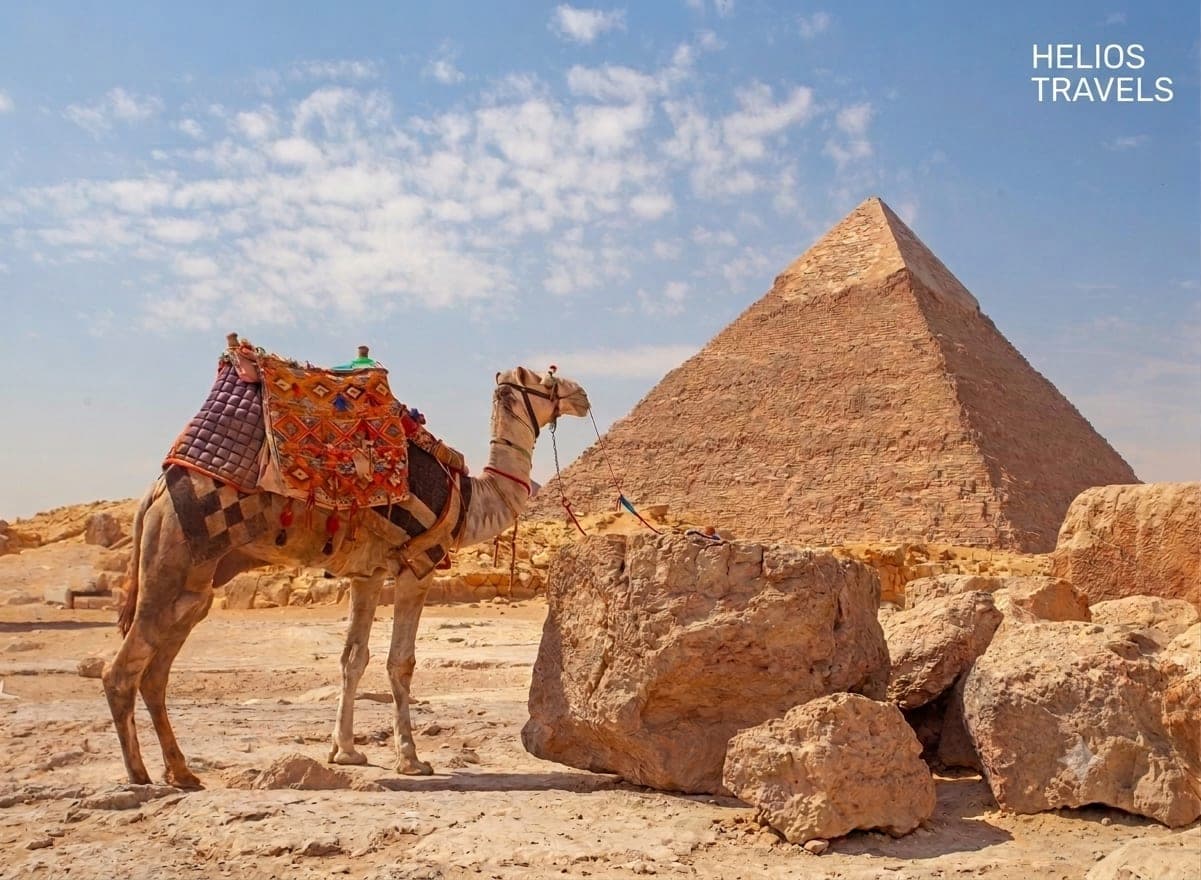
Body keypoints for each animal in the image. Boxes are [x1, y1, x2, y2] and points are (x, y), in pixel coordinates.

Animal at [103, 366, 590, 788]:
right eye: (546, 379)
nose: (582, 395)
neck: (471, 497)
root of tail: (153, 494)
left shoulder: (367, 575)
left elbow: (352, 658)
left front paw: (346, 751)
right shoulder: (418, 567)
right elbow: (400, 663)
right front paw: (411, 759)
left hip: (194, 582)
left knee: (156, 671)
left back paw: (182, 772)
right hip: (174, 560)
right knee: (121, 670)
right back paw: (139, 773)